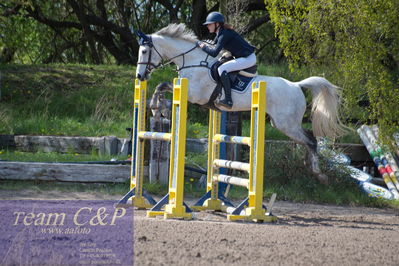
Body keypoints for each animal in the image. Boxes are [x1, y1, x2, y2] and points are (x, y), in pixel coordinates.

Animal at [135, 23, 346, 184]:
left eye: (144, 51)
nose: (139, 76)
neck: (193, 62)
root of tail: (296, 85)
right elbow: (162, 87)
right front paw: (157, 107)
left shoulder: (194, 95)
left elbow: (163, 85)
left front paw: (155, 106)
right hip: (282, 123)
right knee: (308, 138)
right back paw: (308, 166)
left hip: (286, 124)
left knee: (310, 140)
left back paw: (319, 174)